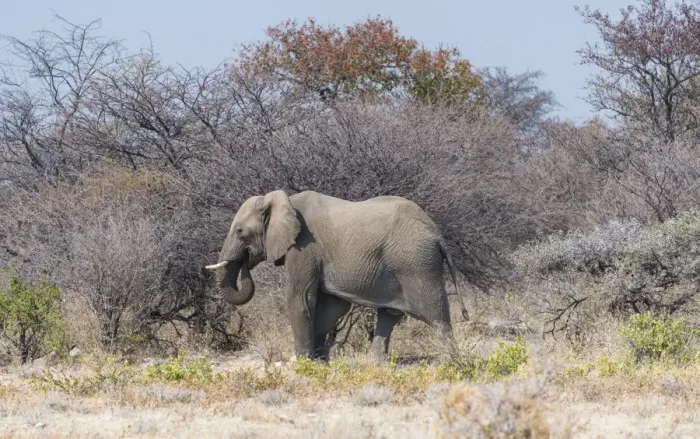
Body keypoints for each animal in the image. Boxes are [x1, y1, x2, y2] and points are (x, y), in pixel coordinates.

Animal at [205, 190, 469, 360]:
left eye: (240, 232)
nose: (246, 262)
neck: (284, 201)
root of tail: (437, 234)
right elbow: (333, 307)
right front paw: (325, 354)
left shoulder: (304, 248)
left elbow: (300, 299)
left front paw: (301, 361)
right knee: (389, 315)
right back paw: (376, 363)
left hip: (417, 264)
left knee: (436, 316)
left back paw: (451, 361)